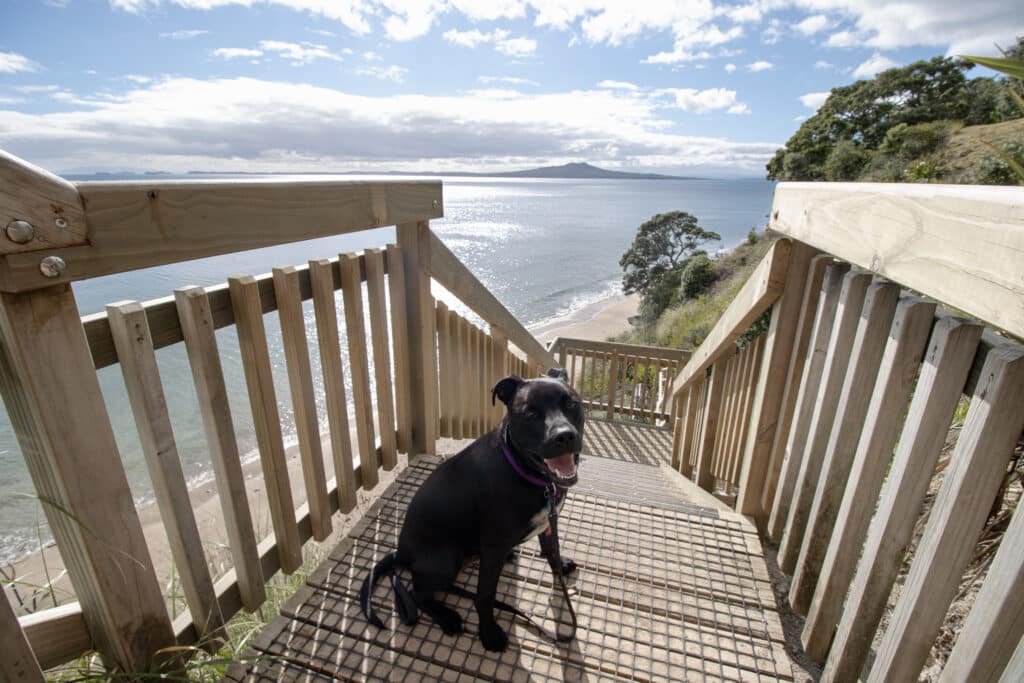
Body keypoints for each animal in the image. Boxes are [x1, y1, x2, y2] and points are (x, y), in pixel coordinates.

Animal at [360, 368, 585, 651]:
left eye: (572, 404)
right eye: (530, 413)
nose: (564, 436)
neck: (528, 475)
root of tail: (401, 552)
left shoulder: (548, 520)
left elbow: (551, 549)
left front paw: (560, 565)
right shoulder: (493, 547)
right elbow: (485, 596)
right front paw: (488, 634)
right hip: (447, 557)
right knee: (417, 592)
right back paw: (446, 617)